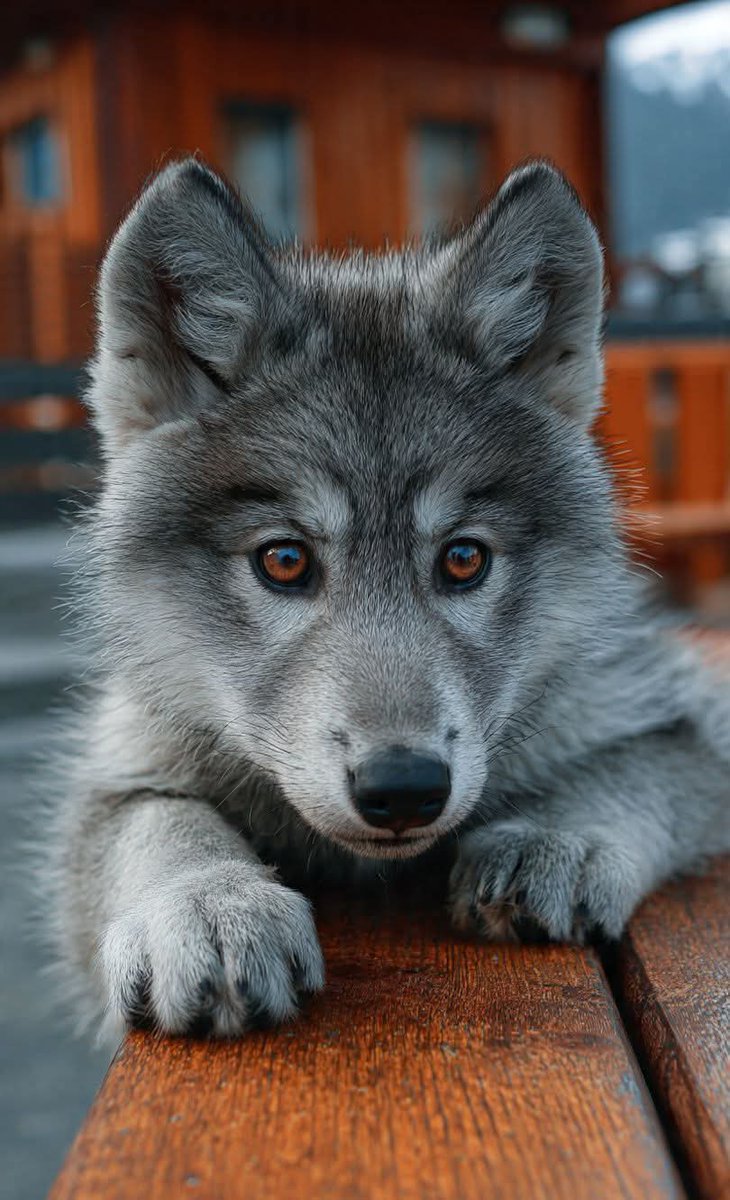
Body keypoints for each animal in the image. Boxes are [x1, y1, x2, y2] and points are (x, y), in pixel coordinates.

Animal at [46, 157, 729, 1040]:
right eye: (285, 561)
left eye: (465, 559)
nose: (403, 786)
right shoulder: (123, 762)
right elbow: (159, 821)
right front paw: (208, 903)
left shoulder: (675, 708)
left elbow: (637, 763)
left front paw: (558, 836)